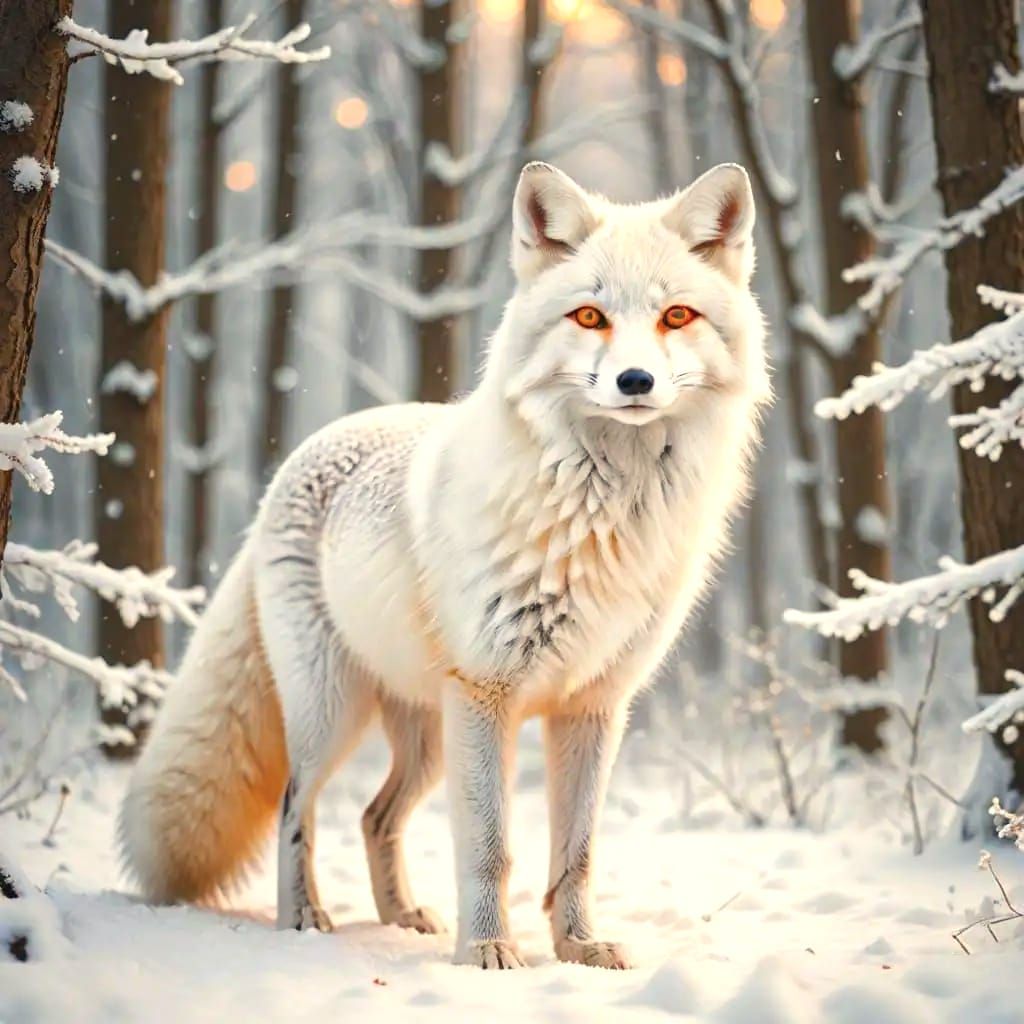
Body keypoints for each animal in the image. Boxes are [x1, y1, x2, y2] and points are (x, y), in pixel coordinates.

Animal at [120, 160, 770, 970]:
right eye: (589, 318)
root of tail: (296, 459)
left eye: (676, 316)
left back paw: (401, 918)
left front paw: (579, 947)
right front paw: (488, 951)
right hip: (337, 715)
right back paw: (304, 919)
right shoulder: (487, 695)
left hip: (428, 740)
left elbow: (577, 853)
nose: (635, 382)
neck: (601, 513)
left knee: (374, 816)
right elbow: (490, 847)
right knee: (296, 807)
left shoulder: (593, 707)